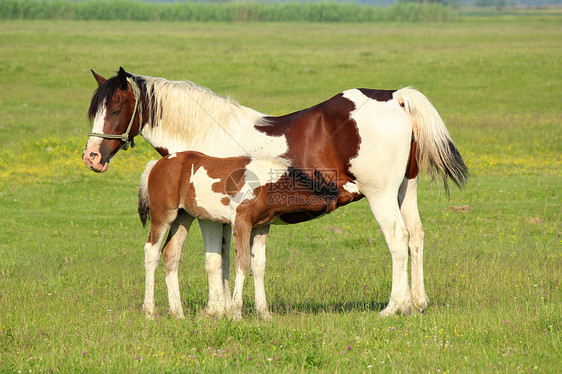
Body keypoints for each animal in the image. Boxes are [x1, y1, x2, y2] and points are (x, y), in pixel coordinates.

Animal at [83, 67, 466, 318]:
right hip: (405, 191)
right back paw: (417, 302)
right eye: (94, 111)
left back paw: (394, 306)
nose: (91, 157)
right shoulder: (230, 218)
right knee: (416, 236)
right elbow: (230, 260)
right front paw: (226, 308)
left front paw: (216, 310)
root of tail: (395, 97)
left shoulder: (211, 217)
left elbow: (214, 260)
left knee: (398, 239)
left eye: (115, 109)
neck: (205, 133)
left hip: (381, 195)